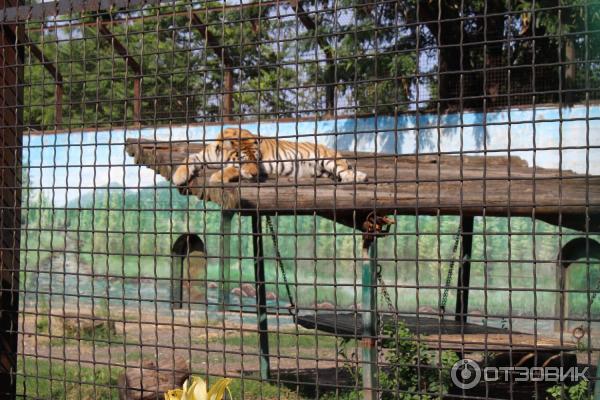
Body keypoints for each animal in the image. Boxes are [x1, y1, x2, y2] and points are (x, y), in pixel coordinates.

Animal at [171, 127, 368, 185]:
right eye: (243, 159)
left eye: (256, 159)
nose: (254, 174)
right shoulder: (204, 156)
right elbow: (188, 159)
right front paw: (178, 177)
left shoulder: (261, 168)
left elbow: (232, 169)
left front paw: (217, 177)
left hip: (327, 158)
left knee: (345, 170)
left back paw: (359, 177)